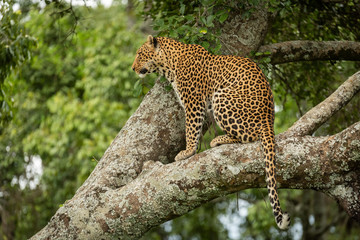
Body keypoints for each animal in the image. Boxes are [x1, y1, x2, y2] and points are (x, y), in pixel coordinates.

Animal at [131, 35, 292, 229]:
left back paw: (218, 140)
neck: (169, 64)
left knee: (249, 136)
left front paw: (187, 152)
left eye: (140, 54)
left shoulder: (193, 102)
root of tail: (268, 119)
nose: (133, 68)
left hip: (221, 97)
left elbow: (191, 129)